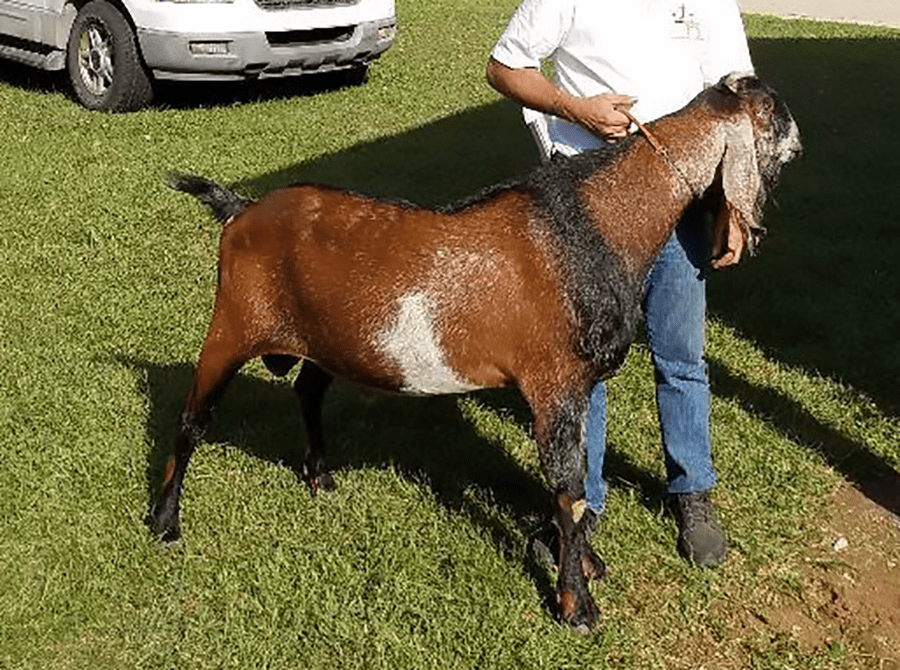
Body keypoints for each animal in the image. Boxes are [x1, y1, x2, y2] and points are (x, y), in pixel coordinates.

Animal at [153, 75, 800, 636]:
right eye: (775, 112)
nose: (799, 143)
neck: (598, 223)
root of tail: (242, 209)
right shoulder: (553, 384)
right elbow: (566, 486)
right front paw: (576, 603)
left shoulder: (579, 386)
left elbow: (577, 486)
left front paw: (586, 566)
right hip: (232, 325)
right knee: (192, 420)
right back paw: (164, 521)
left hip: (329, 340)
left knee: (307, 390)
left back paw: (320, 476)